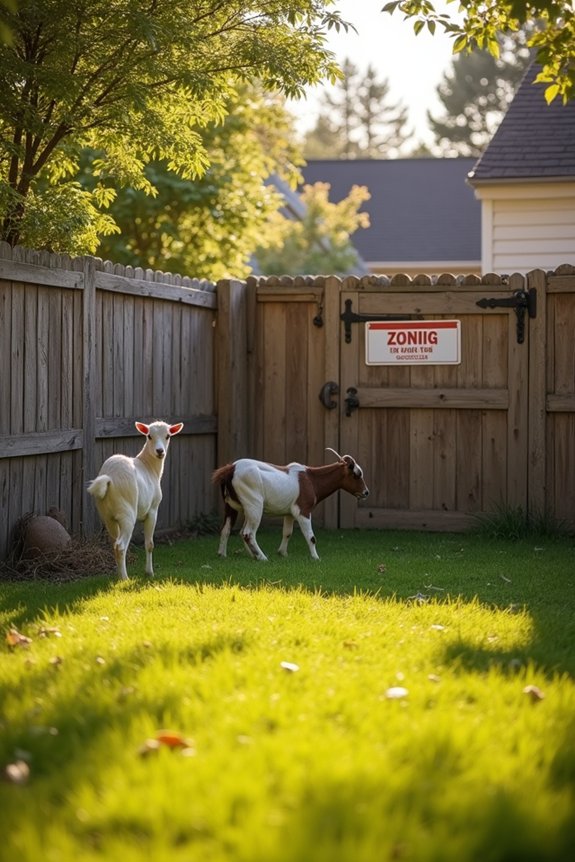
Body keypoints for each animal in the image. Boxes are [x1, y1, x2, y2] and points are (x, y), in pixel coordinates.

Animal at [87, 420, 184, 580]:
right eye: (149, 436)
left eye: (168, 436)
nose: (160, 451)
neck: (150, 467)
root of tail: (109, 478)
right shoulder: (153, 510)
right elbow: (149, 544)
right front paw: (149, 572)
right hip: (127, 513)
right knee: (120, 546)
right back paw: (125, 578)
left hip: (107, 515)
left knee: (114, 544)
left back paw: (119, 575)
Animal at [212, 448, 369, 561]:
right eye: (356, 474)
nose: (366, 492)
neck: (310, 479)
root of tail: (231, 469)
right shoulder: (303, 511)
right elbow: (311, 536)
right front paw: (316, 558)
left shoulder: (289, 513)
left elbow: (287, 533)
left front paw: (282, 553)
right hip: (255, 506)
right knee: (247, 533)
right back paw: (262, 557)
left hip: (231, 507)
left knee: (227, 530)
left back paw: (224, 554)